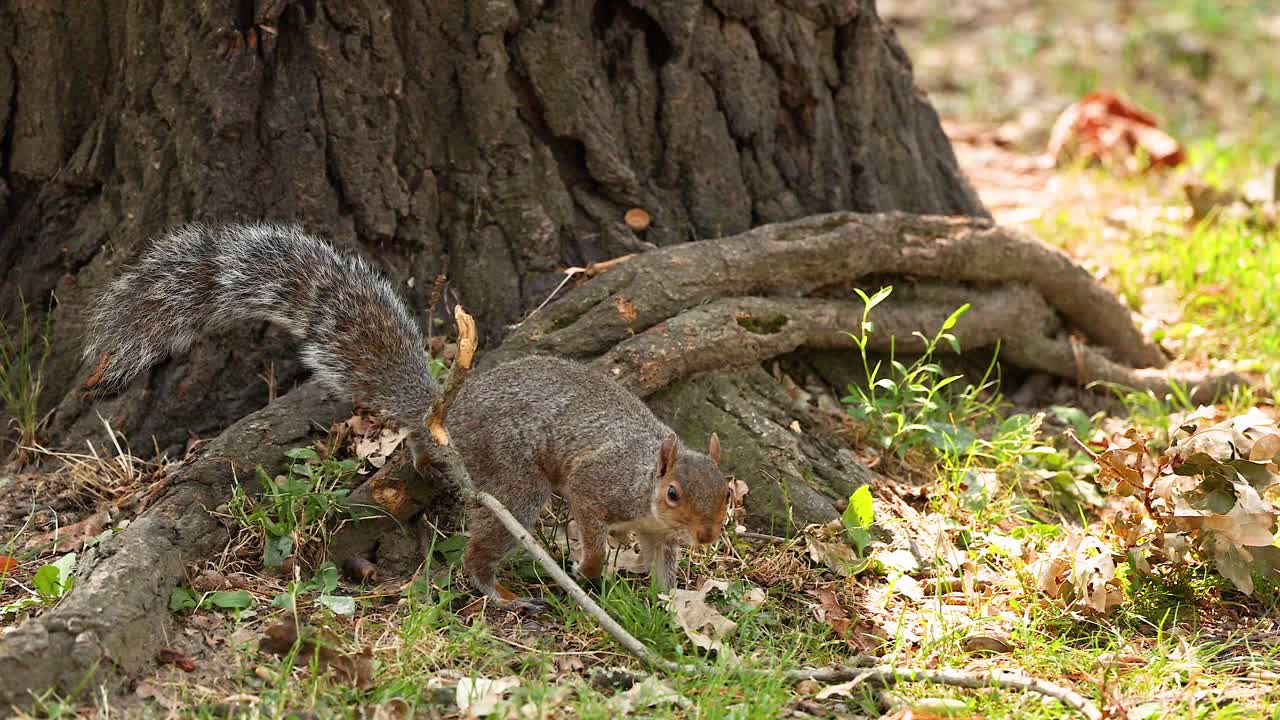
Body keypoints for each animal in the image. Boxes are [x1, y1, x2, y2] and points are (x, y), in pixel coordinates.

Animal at [83, 223, 730, 610]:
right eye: (673, 492)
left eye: (727, 494)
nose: (708, 534)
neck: (646, 488)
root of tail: (446, 413)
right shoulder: (600, 488)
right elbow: (590, 526)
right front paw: (590, 571)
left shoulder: (658, 536)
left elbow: (664, 568)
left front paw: (670, 606)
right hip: (512, 481)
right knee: (484, 544)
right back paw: (498, 592)